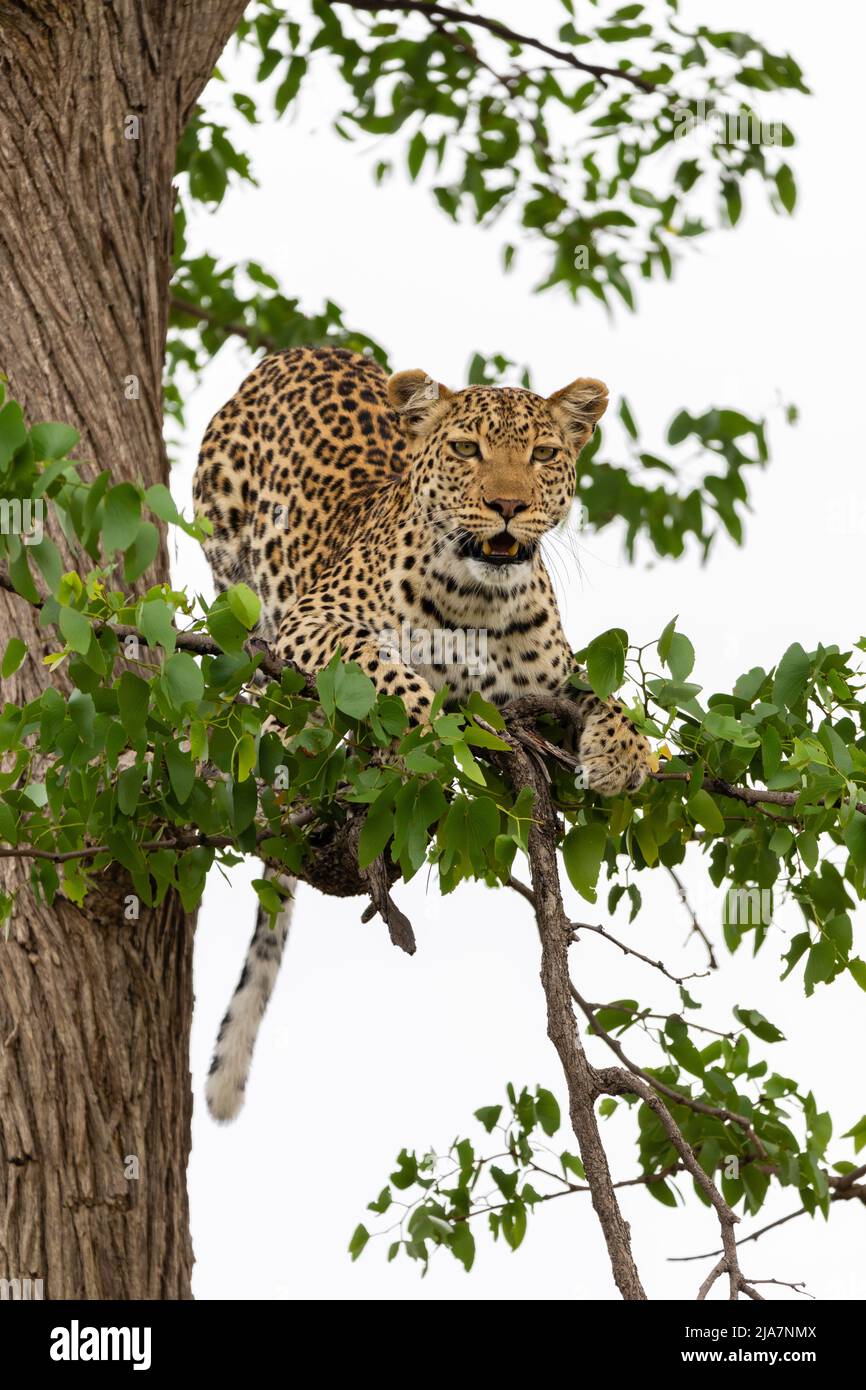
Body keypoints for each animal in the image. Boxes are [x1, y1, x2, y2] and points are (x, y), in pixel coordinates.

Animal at [191, 344, 650, 1117]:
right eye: (467, 449)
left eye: (543, 454)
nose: (507, 506)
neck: (478, 602)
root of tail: (298, 351)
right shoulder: (315, 621)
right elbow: (380, 665)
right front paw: (429, 726)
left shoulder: (549, 685)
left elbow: (605, 694)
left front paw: (624, 752)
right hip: (232, 567)